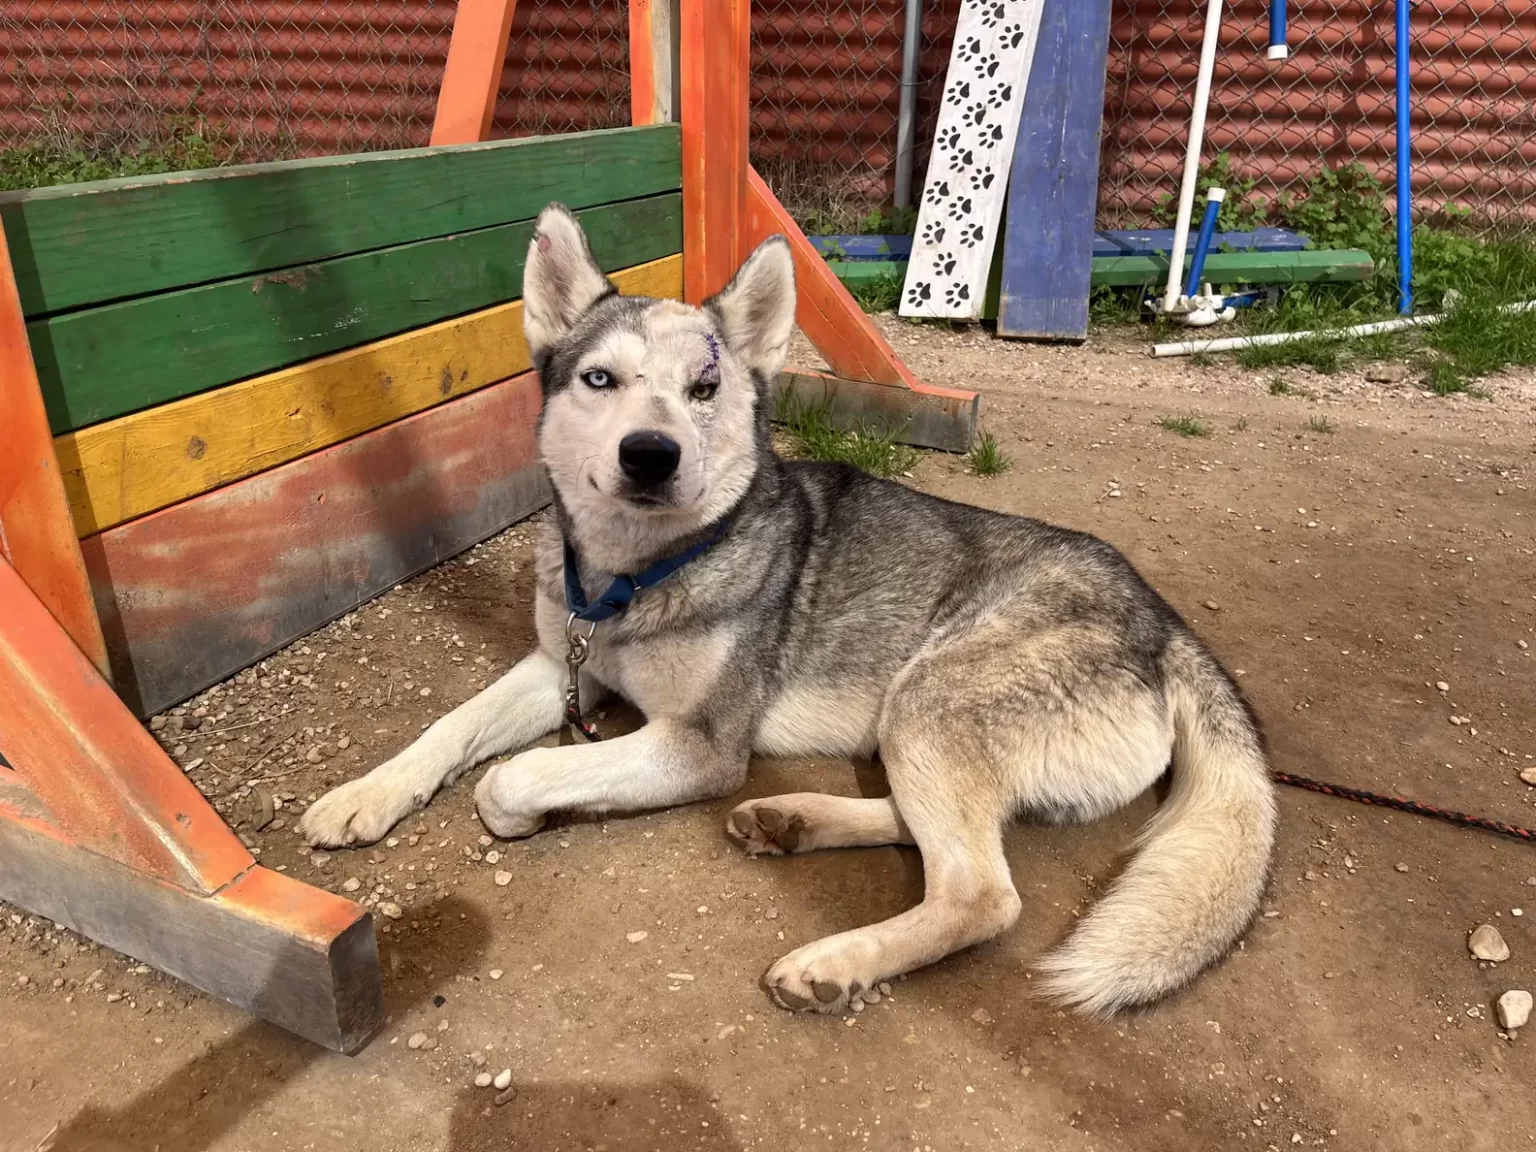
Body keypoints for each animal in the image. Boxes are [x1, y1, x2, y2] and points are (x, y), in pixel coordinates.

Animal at [296, 202, 1271, 1013]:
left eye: (704, 389)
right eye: (601, 381)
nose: (650, 454)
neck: (631, 579)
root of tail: (1166, 623)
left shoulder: (698, 746)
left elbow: (511, 777)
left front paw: (526, 811)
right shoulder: (558, 666)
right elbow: (451, 729)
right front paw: (362, 796)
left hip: (932, 697)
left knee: (982, 893)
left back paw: (833, 960)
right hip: (916, 724)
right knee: (938, 833)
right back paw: (792, 820)